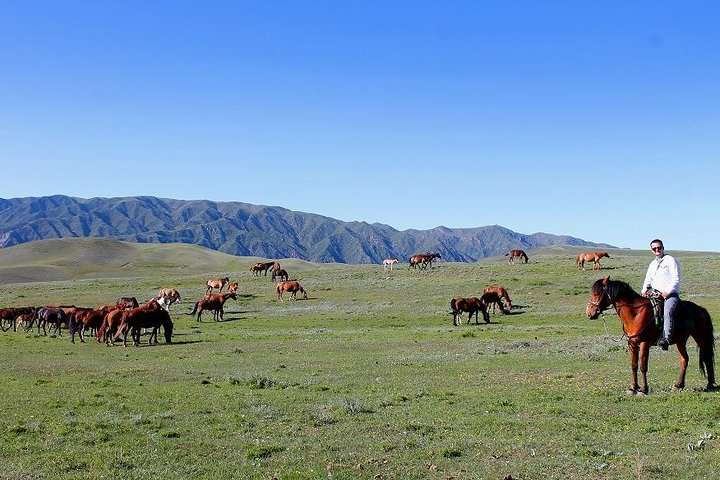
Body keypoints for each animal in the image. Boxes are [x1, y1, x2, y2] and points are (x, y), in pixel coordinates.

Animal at [586, 276, 716, 394]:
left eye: (597, 294)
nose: (589, 313)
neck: (636, 314)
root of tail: (701, 309)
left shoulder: (644, 343)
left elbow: (643, 366)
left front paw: (644, 389)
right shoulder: (632, 343)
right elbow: (634, 365)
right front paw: (633, 388)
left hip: (701, 338)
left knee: (707, 358)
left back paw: (709, 385)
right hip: (680, 341)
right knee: (684, 360)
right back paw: (679, 385)